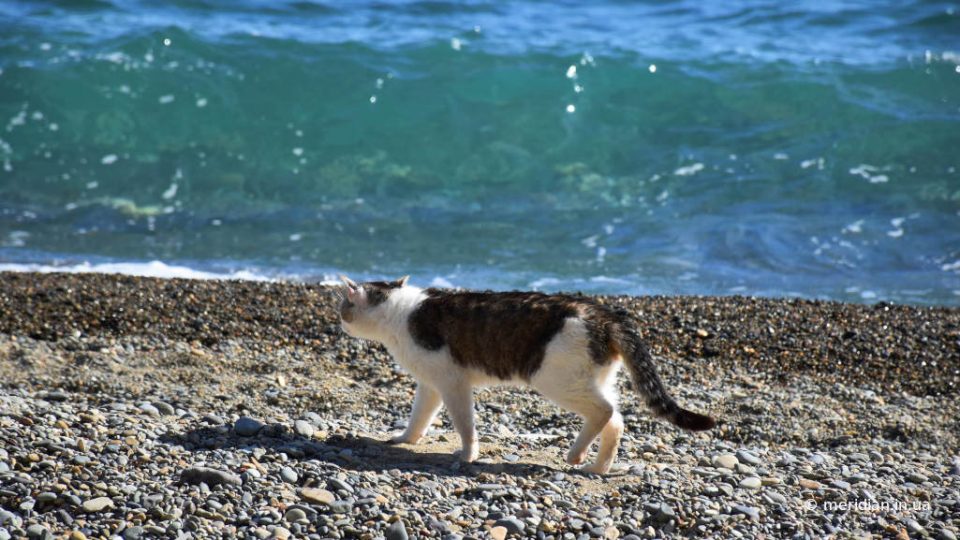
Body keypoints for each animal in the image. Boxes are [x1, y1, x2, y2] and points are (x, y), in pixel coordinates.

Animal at [334, 274, 716, 472]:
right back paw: (597, 467)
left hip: (555, 379)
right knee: (617, 420)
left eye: (342, 306)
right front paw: (406, 439)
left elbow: (465, 425)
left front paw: (468, 455)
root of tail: (604, 313)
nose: (339, 320)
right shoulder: (430, 384)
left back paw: (576, 455)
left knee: (604, 411)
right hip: (592, 378)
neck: (400, 313)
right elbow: (419, 417)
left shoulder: (452, 382)